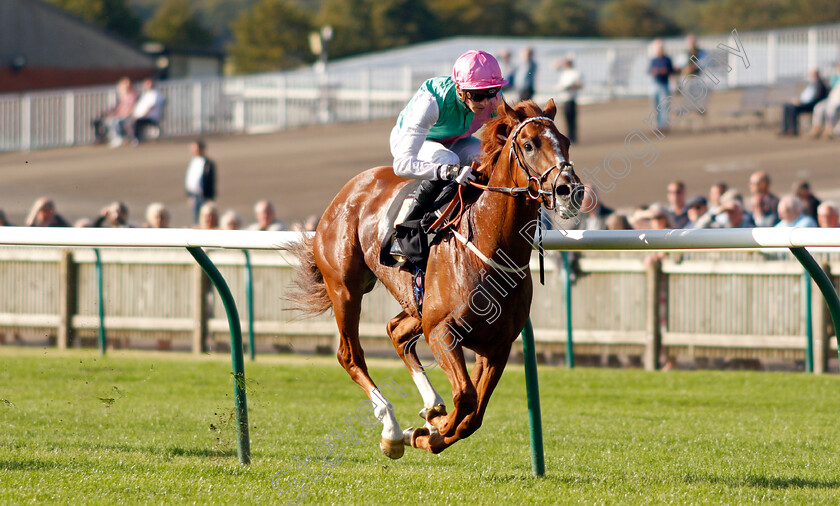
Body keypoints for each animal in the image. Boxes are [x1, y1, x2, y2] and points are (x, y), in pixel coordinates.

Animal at [286, 98, 580, 458]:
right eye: (529, 144)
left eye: (565, 141)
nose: (569, 190)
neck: (489, 247)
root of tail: (347, 190)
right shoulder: (442, 331)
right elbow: (465, 397)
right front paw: (428, 428)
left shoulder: (496, 346)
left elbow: (472, 416)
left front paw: (428, 430)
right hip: (345, 287)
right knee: (350, 354)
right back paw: (392, 429)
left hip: (416, 304)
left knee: (396, 332)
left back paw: (429, 406)